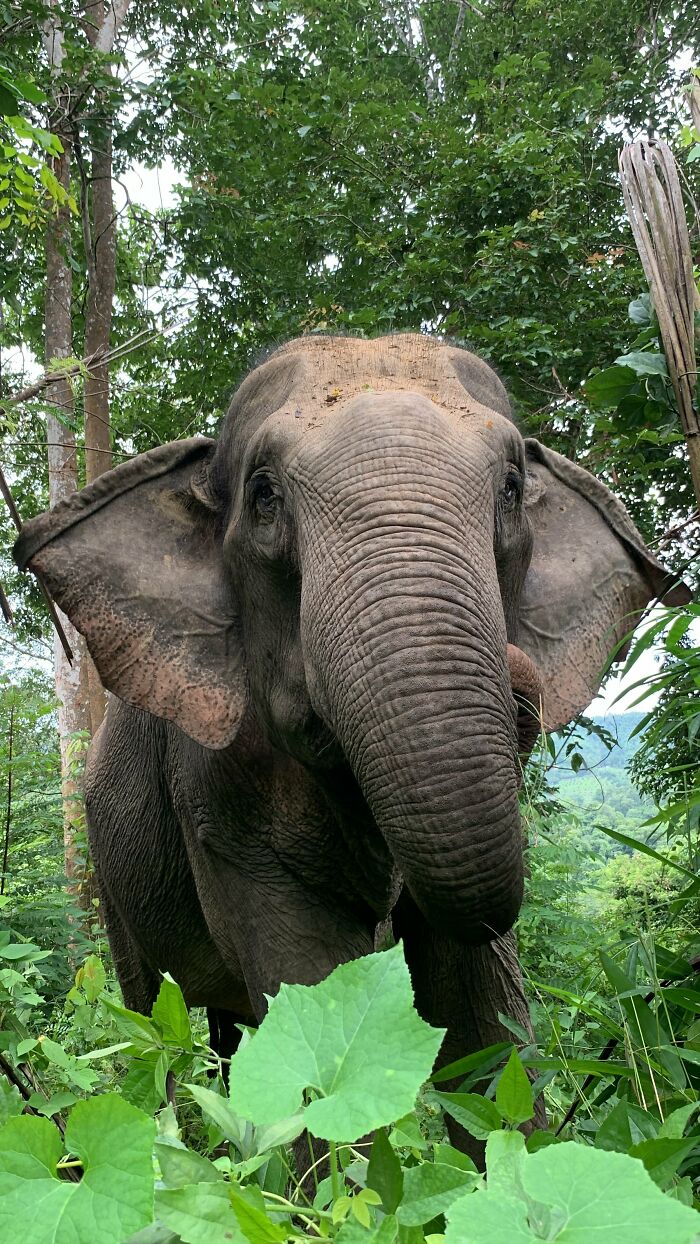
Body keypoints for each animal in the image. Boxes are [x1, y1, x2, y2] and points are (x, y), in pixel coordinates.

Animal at [14, 333, 686, 1148]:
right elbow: (308, 994)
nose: (518, 679)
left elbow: (482, 1021)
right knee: (150, 1023)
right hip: (110, 879)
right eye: (263, 495)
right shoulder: (218, 801)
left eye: (512, 488)